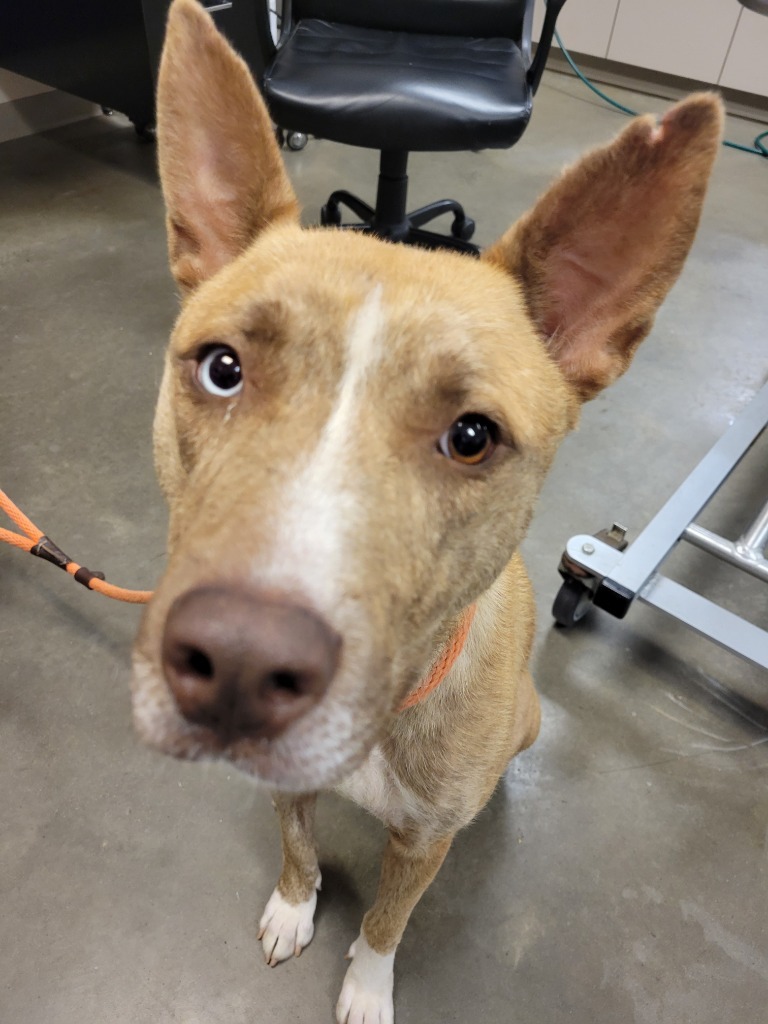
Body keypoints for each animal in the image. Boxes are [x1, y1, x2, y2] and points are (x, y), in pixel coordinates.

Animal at [129, 4, 724, 1019]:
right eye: (222, 367)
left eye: (473, 436)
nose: (237, 666)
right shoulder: (287, 793)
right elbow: (297, 848)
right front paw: (294, 907)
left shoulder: (423, 844)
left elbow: (386, 920)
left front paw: (367, 987)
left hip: (527, 722)